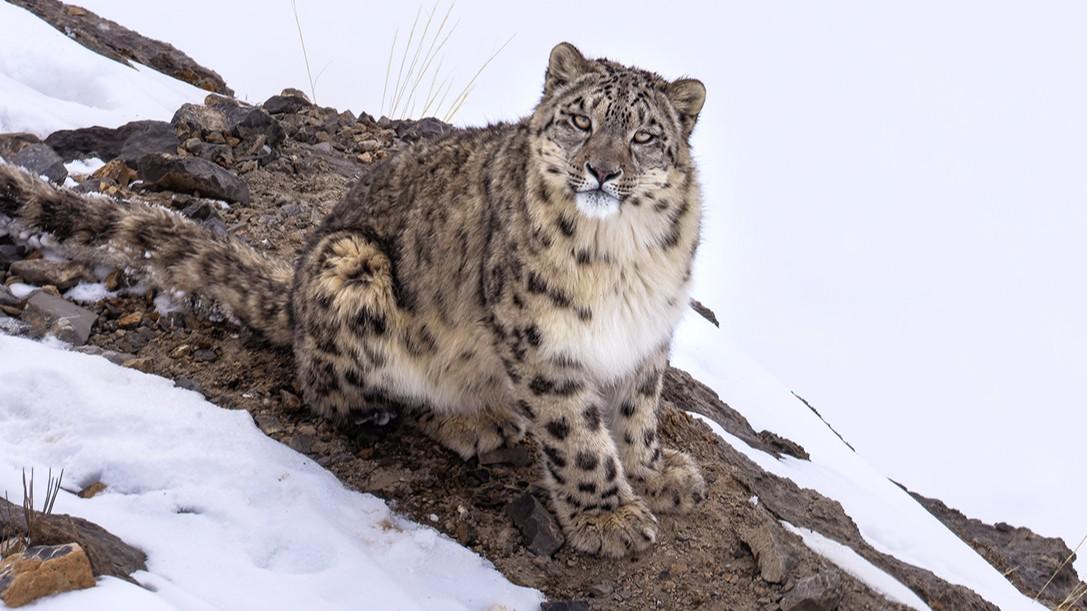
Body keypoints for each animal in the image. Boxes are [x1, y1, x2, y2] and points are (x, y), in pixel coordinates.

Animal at [0, 42, 708, 556]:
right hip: (353, 270)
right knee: (347, 393)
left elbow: (638, 411)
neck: (621, 259)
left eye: (644, 137)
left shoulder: (647, 331)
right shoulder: (540, 336)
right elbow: (576, 433)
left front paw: (659, 475)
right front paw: (609, 519)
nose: (603, 170)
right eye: (581, 120)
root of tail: (292, 297)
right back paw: (472, 420)